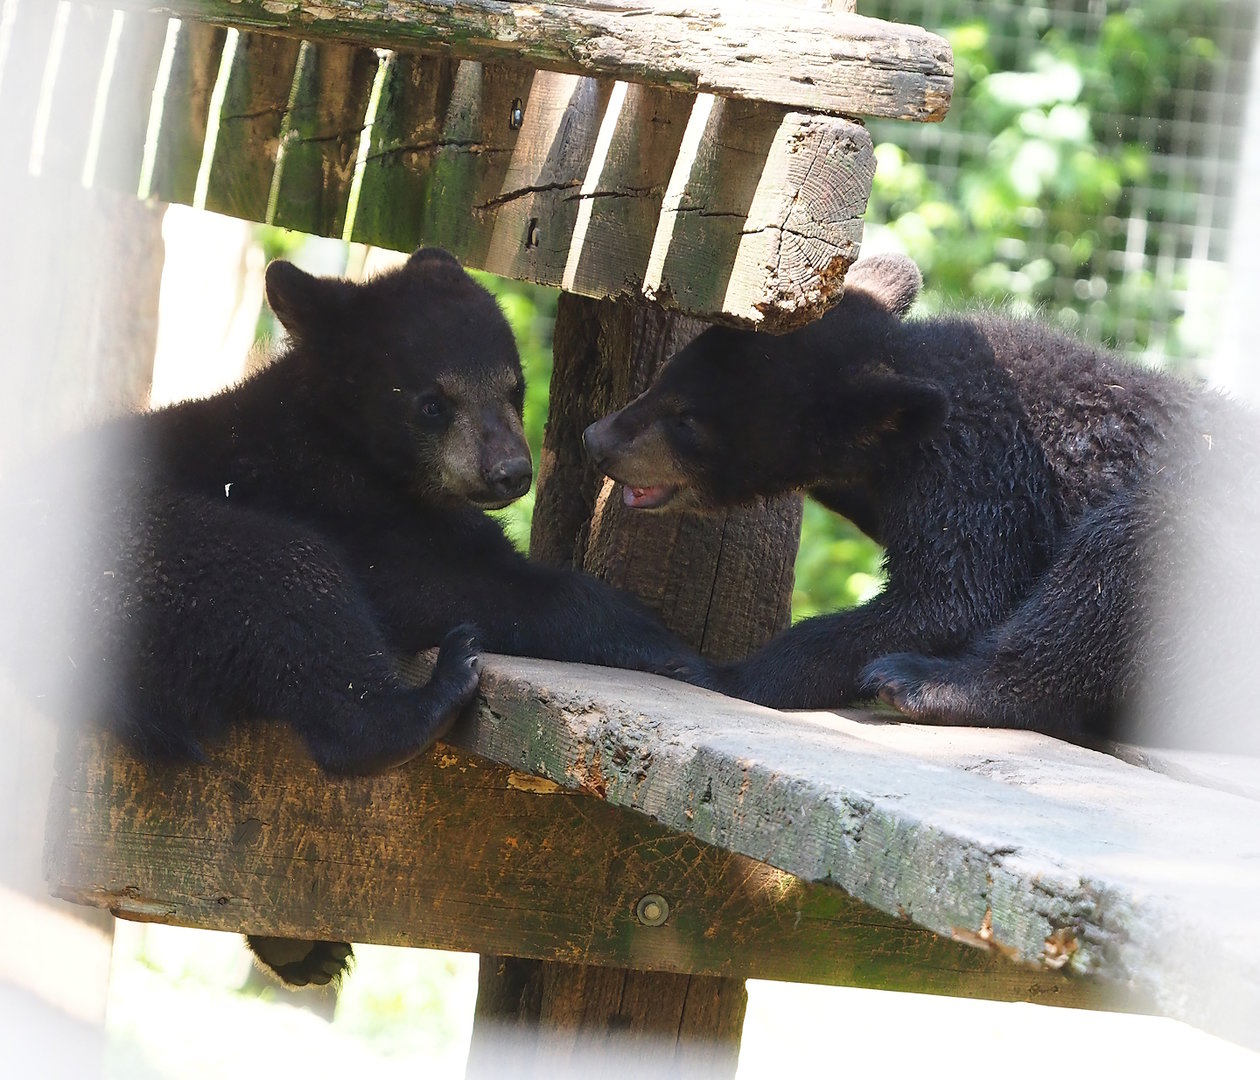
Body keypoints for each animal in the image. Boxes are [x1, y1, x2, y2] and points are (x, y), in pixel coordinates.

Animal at [0, 248, 713, 986]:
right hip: (136, 558)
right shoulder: (329, 494)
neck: (346, 434)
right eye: (433, 403)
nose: (510, 472)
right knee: (282, 577)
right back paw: (425, 699)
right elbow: (443, 585)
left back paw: (298, 948)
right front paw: (677, 652)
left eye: (514, 389)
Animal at [582, 253, 1260, 753]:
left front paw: (722, 670)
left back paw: (927, 683)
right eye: (661, 380)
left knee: (1123, 553)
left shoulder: (977, 459)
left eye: (687, 421)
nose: (598, 439)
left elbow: (953, 595)